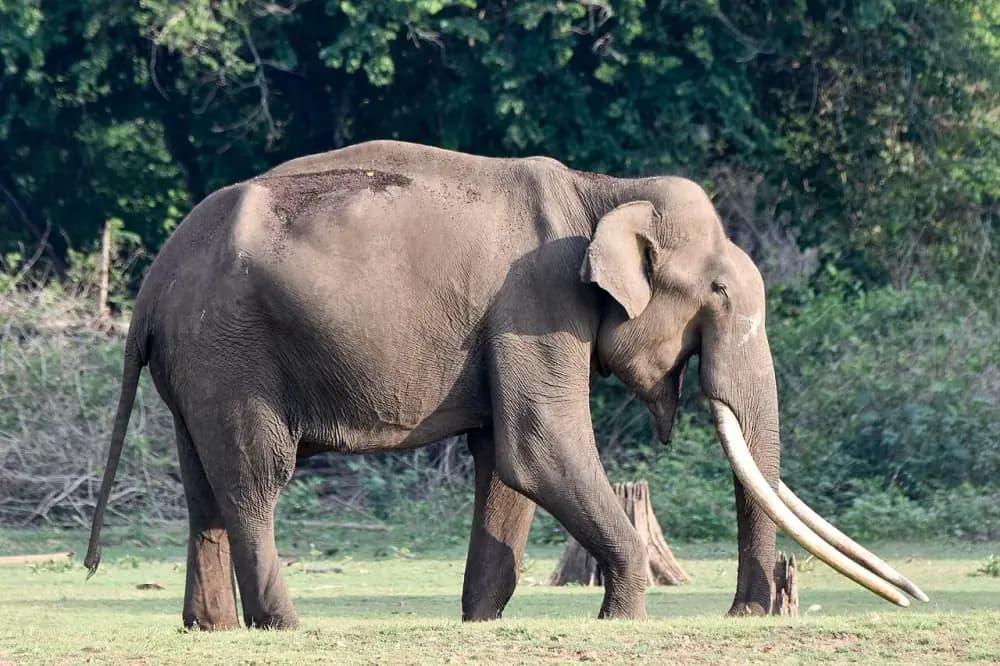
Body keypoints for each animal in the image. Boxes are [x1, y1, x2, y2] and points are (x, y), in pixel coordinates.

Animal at [84, 140, 925, 629]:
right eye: (716, 295)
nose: (747, 611)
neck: (601, 188)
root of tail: (152, 285)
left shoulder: (513, 322)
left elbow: (504, 460)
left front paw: (480, 622)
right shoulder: (537, 298)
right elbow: (539, 444)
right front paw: (623, 618)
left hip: (197, 364)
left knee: (204, 487)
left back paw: (211, 629)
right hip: (232, 352)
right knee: (255, 478)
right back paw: (284, 628)